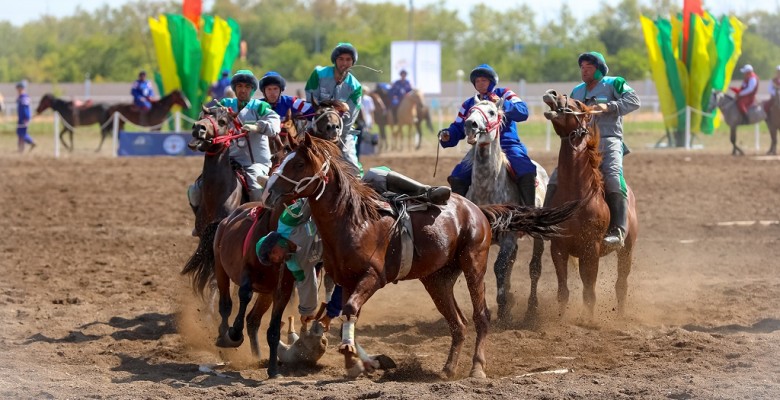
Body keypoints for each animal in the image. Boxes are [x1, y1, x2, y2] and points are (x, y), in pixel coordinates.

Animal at [264, 134, 580, 378]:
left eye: (299, 163)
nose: (268, 193)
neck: (354, 220)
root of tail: (477, 210)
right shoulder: (343, 280)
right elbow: (342, 314)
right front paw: (359, 361)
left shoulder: (373, 277)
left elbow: (350, 310)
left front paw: (352, 357)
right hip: (437, 280)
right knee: (458, 323)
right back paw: (448, 369)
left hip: (473, 264)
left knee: (481, 316)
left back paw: (477, 368)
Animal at [464, 97, 548, 324]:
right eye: (470, 110)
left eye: (492, 112)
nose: (470, 124)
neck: (487, 187)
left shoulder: (508, 238)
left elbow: (499, 267)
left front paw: (503, 310)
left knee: (534, 269)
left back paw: (531, 308)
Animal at [544, 90, 640, 318]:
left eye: (577, 103)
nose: (553, 93)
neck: (577, 195)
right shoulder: (558, 247)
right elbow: (563, 291)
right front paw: (561, 320)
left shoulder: (591, 249)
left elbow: (589, 293)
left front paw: (588, 322)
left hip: (627, 249)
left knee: (621, 285)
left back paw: (620, 317)